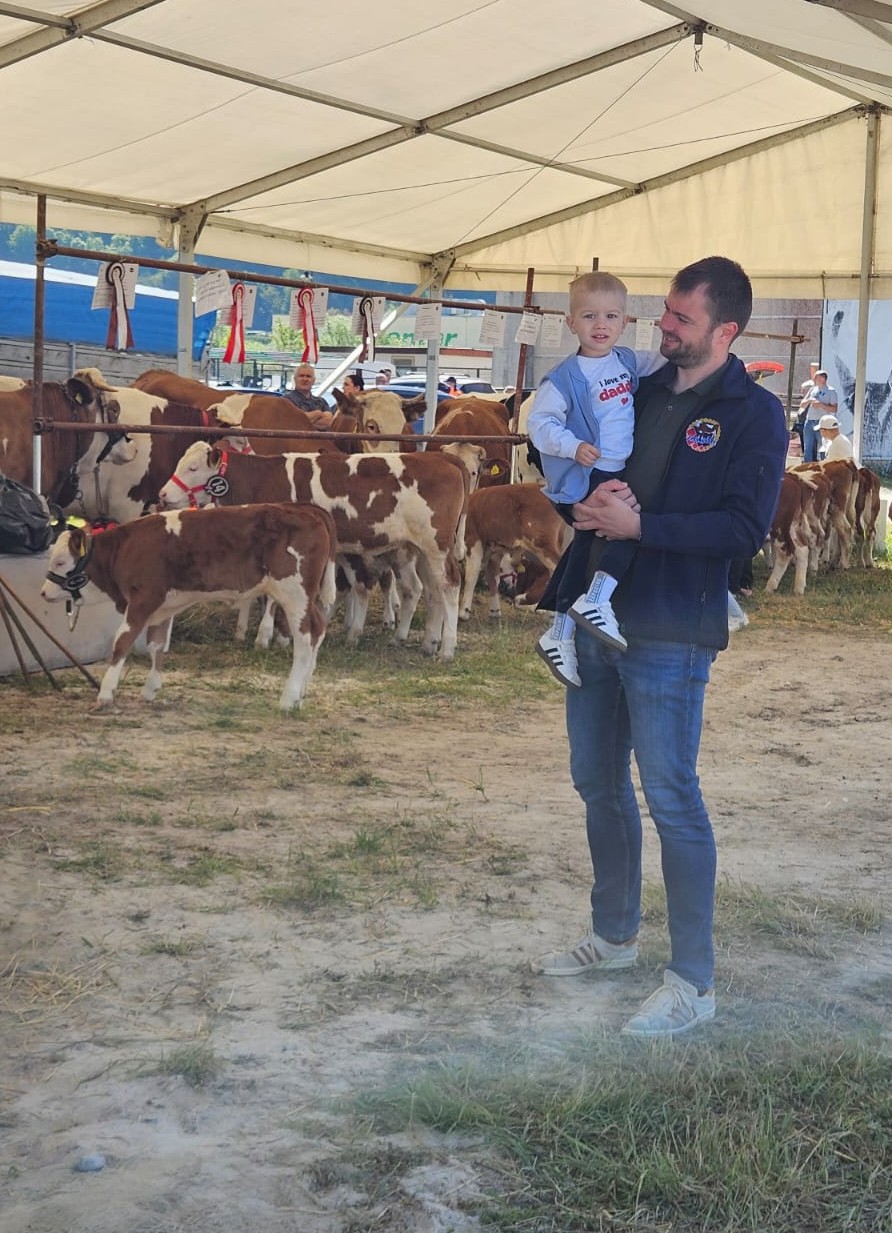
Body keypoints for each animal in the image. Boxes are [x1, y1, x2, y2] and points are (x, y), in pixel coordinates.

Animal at [40, 503, 336, 711]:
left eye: (60, 562)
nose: (43, 593)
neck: (124, 549)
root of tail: (306, 509)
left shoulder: (143, 599)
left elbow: (121, 643)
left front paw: (105, 694)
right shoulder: (163, 607)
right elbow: (157, 645)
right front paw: (150, 690)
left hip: (294, 594)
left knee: (305, 637)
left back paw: (288, 697)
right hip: (306, 597)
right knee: (319, 629)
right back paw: (301, 694)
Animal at [158, 444, 468, 659]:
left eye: (193, 468)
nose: (162, 494)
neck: (261, 478)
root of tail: (443, 458)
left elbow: (273, 597)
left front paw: (267, 638)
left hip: (437, 544)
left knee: (450, 585)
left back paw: (447, 649)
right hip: (421, 549)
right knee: (430, 590)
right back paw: (427, 642)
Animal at [460, 484, 572, 619]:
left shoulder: (473, 540)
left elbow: (471, 575)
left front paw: (464, 611)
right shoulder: (496, 550)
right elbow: (493, 577)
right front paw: (495, 610)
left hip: (542, 543)